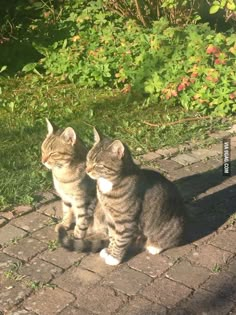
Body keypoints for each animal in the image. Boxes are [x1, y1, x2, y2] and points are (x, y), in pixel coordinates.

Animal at [85, 130, 186, 266]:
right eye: (88, 159)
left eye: (99, 165)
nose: (87, 170)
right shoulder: (110, 218)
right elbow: (112, 236)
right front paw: (109, 251)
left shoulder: (125, 220)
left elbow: (120, 239)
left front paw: (114, 258)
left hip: (173, 225)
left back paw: (154, 246)